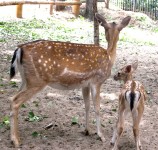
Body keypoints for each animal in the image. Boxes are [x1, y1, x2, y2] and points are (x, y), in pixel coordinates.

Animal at [9, 13, 131, 147]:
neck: (109, 56)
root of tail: (19, 49)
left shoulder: (85, 84)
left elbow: (87, 105)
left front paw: (87, 130)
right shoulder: (97, 81)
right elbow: (97, 108)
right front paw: (101, 135)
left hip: (25, 79)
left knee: (12, 98)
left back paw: (15, 136)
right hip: (36, 80)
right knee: (15, 101)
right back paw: (15, 140)